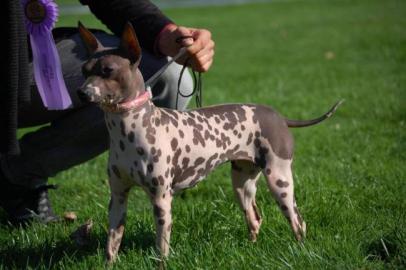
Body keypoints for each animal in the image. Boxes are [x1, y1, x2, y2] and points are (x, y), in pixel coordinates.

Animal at [77, 22, 342, 262]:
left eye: (108, 70)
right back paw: (251, 249)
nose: (81, 92)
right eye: (84, 70)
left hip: (280, 180)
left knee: (298, 220)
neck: (127, 130)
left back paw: (301, 250)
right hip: (242, 182)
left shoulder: (162, 199)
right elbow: (112, 244)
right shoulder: (118, 197)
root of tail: (278, 116)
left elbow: (161, 247)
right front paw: (109, 264)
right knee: (255, 218)